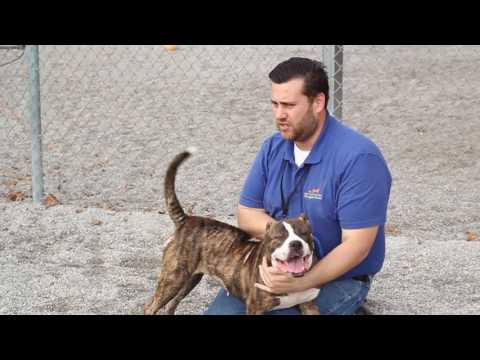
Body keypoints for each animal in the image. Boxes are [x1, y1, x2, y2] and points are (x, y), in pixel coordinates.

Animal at [144, 149, 320, 316]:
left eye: (303, 233)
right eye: (279, 237)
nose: (296, 244)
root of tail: (186, 219)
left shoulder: (310, 305)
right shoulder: (255, 308)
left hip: (189, 279)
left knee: (171, 305)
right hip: (173, 279)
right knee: (150, 307)